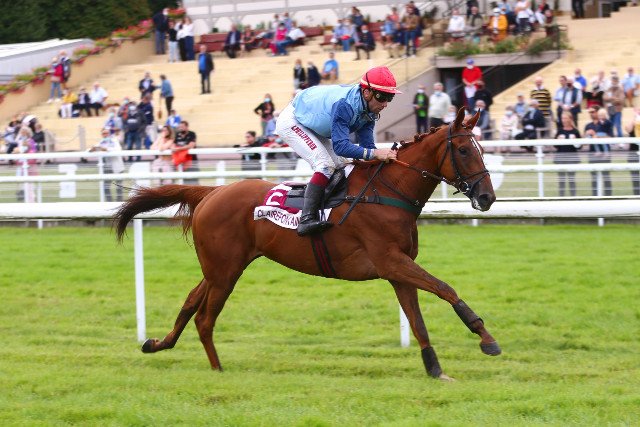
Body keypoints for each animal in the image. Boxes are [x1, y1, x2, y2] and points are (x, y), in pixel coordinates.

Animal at [114, 108, 500, 380]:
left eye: (481, 149)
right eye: (463, 149)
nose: (487, 197)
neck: (387, 192)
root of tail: (211, 192)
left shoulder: (398, 270)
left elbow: (417, 320)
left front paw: (435, 369)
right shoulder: (391, 261)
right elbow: (445, 288)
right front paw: (486, 338)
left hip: (220, 267)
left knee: (192, 302)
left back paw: (158, 344)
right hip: (225, 271)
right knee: (205, 317)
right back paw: (217, 370)